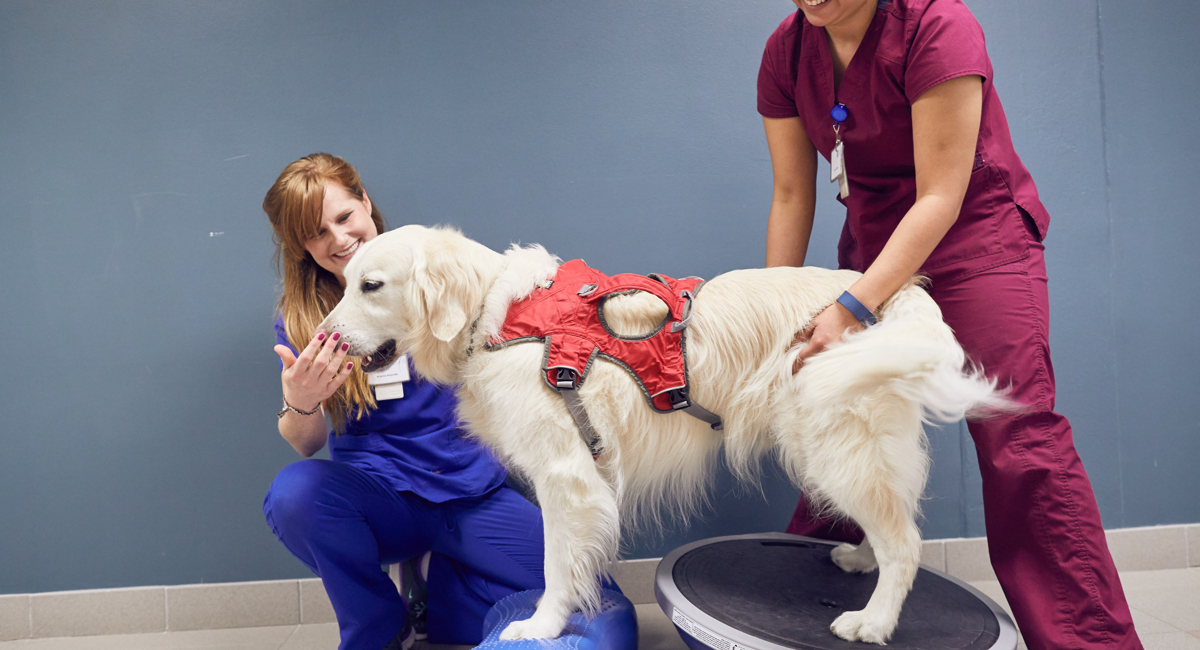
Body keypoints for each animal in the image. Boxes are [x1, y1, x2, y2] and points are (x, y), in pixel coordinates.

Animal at [316, 225, 1003, 647]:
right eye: (345, 281)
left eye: (370, 286)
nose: (321, 338)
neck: (495, 315)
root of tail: (897, 296)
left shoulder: (566, 476)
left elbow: (556, 564)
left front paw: (542, 624)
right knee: (896, 518)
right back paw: (859, 557)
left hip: (836, 443)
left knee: (905, 541)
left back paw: (873, 621)